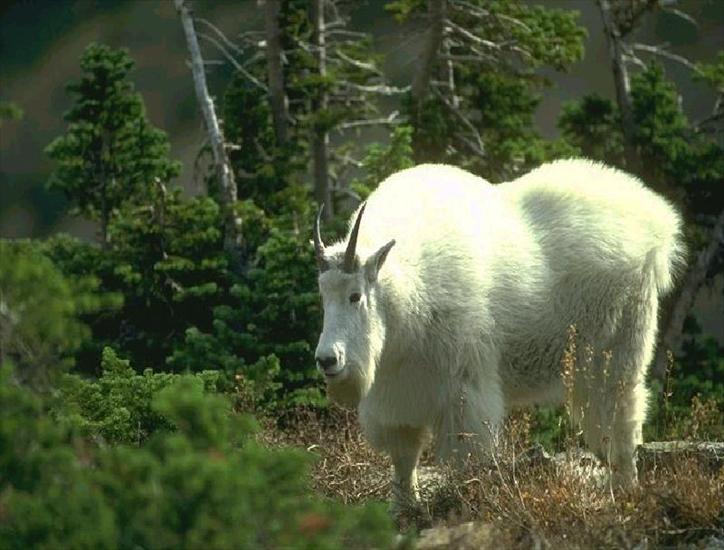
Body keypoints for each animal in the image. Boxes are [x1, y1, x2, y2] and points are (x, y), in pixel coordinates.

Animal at [312, 160, 684, 512]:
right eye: (323, 295)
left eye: (355, 296)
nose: (327, 360)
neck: (405, 291)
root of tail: (658, 225)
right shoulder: (397, 392)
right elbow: (404, 455)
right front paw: (402, 508)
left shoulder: (463, 388)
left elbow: (466, 454)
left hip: (616, 346)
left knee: (621, 419)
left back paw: (623, 492)